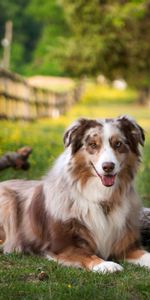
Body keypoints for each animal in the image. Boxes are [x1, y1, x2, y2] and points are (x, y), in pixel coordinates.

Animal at [0, 115, 150, 274]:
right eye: (93, 144)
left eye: (118, 144)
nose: (108, 166)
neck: (102, 198)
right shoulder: (62, 247)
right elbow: (87, 255)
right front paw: (106, 264)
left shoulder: (126, 246)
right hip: (7, 200)